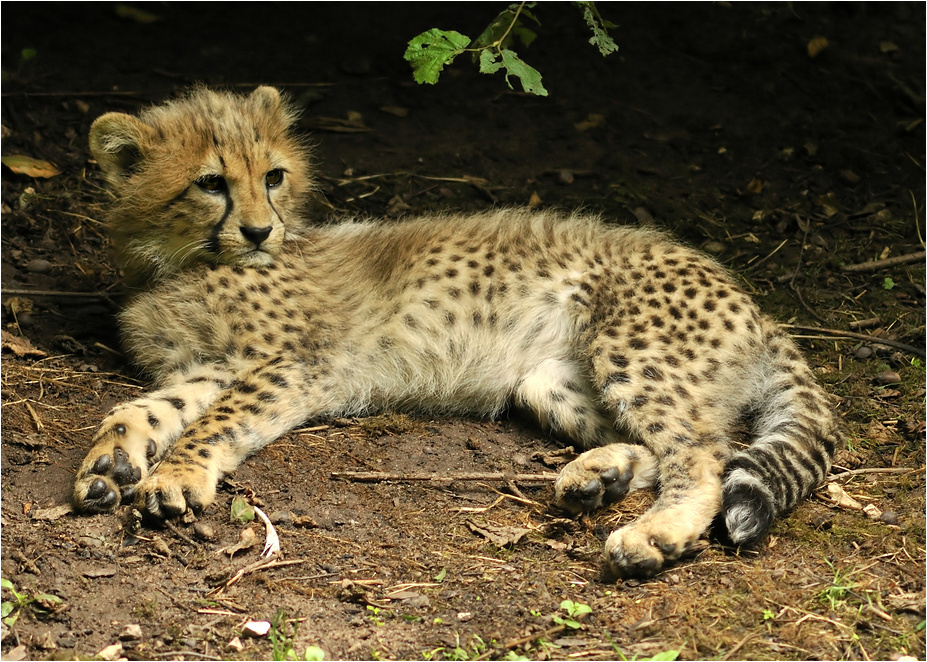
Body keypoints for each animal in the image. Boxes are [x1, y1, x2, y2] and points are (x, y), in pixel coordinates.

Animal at [73, 86, 841, 578]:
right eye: (210, 183)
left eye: (274, 176)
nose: (262, 230)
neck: (180, 263)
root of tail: (752, 299)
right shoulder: (209, 365)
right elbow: (141, 408)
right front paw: (110, 462)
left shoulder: (293, 366)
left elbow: (215, 421)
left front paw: (175, 475)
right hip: (546, 382)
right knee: (669, 446)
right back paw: (601, 477)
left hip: (632, 351)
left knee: (706, 453)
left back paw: (654, 534)